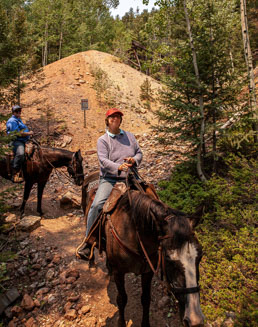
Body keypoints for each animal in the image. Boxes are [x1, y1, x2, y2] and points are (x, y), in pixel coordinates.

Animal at [81, 176, 205, 327]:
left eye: (200, 256)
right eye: (168, 258)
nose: (195, 320)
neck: (133, 232)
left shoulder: (148, 272)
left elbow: (146, 299)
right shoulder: (119, 272)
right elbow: (122, 299)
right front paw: (121, 323)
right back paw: (90, 260)